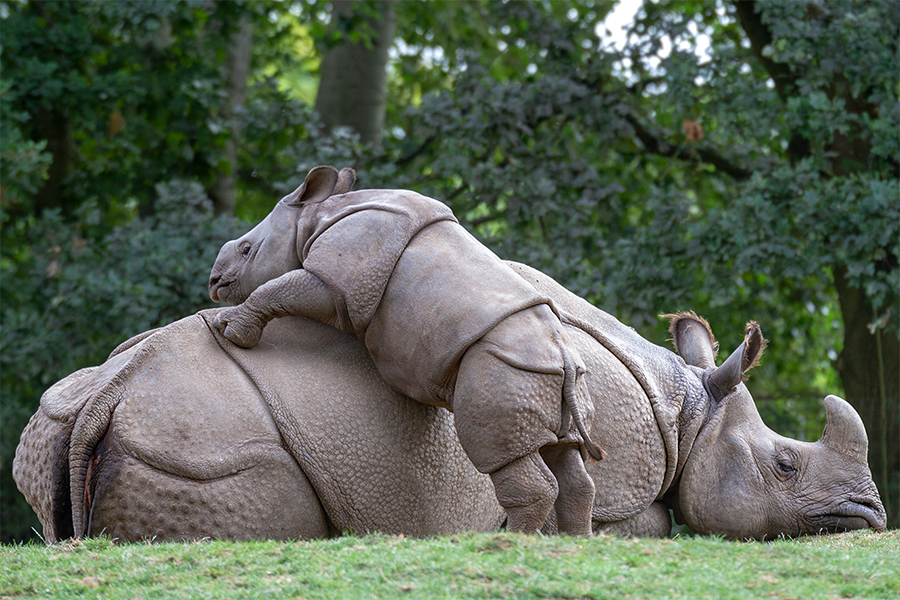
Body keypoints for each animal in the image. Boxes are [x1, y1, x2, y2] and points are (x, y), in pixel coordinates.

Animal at [14, 260, 884, 540]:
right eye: (785, 465)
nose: (872, 516)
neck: (688, 412)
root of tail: (110, 395)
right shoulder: (622, 485)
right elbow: (647, 522)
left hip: (70, 415)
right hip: (203, 447)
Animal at [209, 165, 604, 536]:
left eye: (246, 249)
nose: (214, 282)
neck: (314, 217)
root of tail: (565, 361)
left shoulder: (342, 275)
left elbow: (282, 289)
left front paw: (229, 330)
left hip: (506, 369)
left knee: (509, 453)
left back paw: (516, 543)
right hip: (550, 377)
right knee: (565, 455)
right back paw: (574, 543)